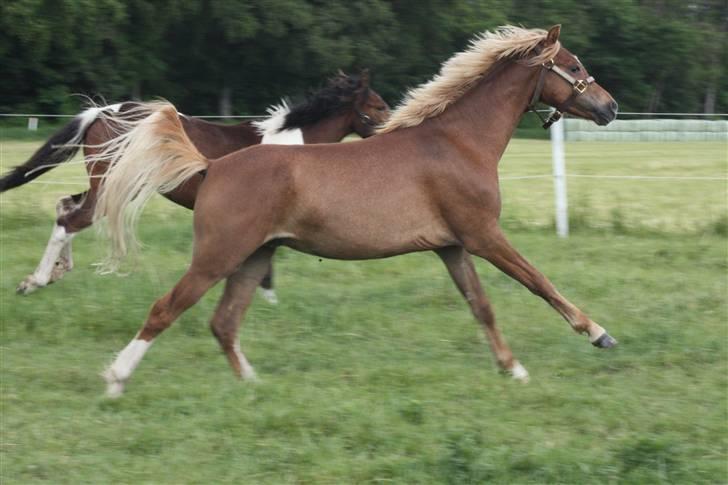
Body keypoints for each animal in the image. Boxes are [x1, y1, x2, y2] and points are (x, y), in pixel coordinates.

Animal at [1, 71, 392, 298]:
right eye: (379, 105)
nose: (393, 128)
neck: (294, 143)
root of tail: (103, 112)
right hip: (112, 187)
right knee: (70, 221)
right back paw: (35, 281)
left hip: (110, 185)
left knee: (65, 207)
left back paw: (57, 272)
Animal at [91, 25, 616, 398]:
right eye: (573, 65)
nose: (610, 107)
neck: (458, 143)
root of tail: (212, 166)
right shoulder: (483, 235)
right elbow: (538, 282)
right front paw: (598, 334)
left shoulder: (452, 246)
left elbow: (481, 306)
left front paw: (514, 369)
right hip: (218, 255)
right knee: (167, 308)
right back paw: (115, 379)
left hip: (256, 256)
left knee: (224, 323)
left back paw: (255, 385)